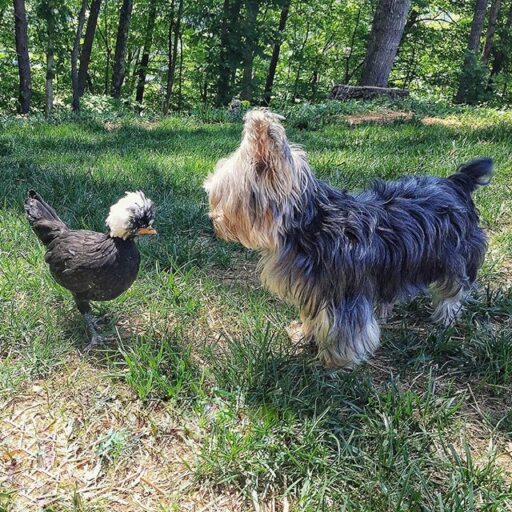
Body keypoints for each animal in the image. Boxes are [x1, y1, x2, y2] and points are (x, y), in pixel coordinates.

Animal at [203, 109, 492, 368]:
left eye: (221, 195)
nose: (213, 220)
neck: (311, 224)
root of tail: (455, 182)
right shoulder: (315, 288)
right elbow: (313, 316)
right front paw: (304, 335)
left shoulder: (344, 292)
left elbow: (345, 330)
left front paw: (336, 363)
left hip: (456, 254)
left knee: (454, 288)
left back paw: (445, 316)